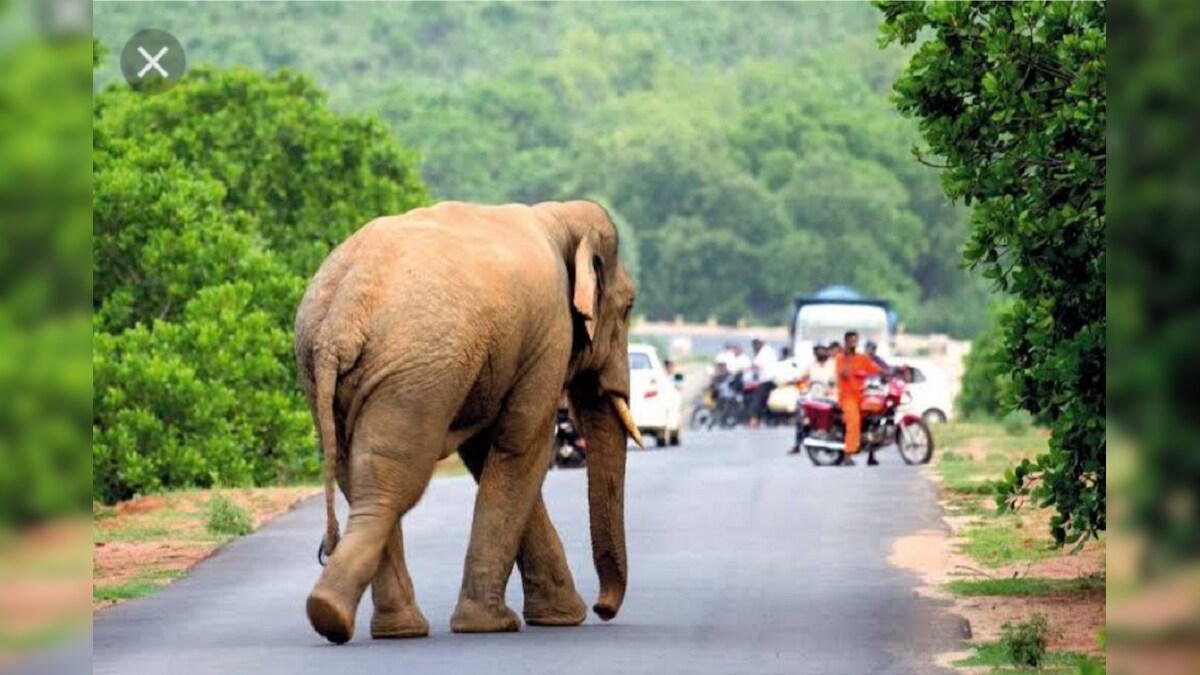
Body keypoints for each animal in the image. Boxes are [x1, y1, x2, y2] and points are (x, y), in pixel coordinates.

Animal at [294, 195, 643, 638]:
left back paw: (385, 627)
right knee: (394, 482)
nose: (603, 609)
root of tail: (338, 323)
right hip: (416, 378)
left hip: (327, 373)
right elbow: (521, 448)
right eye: (628, 306)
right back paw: (339, 616)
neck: (556, 216)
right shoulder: (550, 335)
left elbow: (485, 454)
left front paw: (557, 618)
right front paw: (497, 624)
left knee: (356, 473)